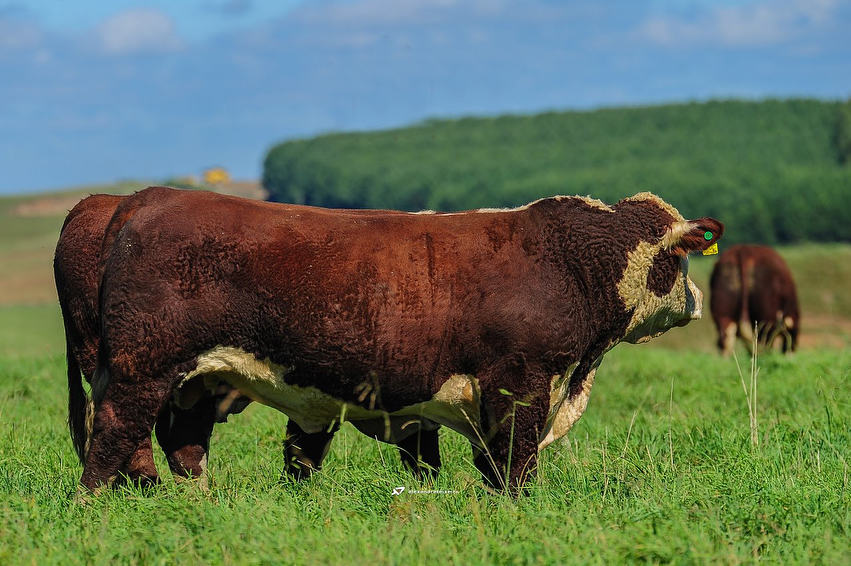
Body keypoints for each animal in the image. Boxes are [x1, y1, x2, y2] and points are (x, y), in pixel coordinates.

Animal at [76, 189, 724, 494]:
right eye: (681, 258)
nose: (697, 300)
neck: (571, 263)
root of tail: (144, 198)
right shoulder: (518, 385)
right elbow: (514, 466)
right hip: (140, 371)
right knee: (108, 440)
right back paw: (94, 506)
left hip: (198, 381)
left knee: (185, 448)